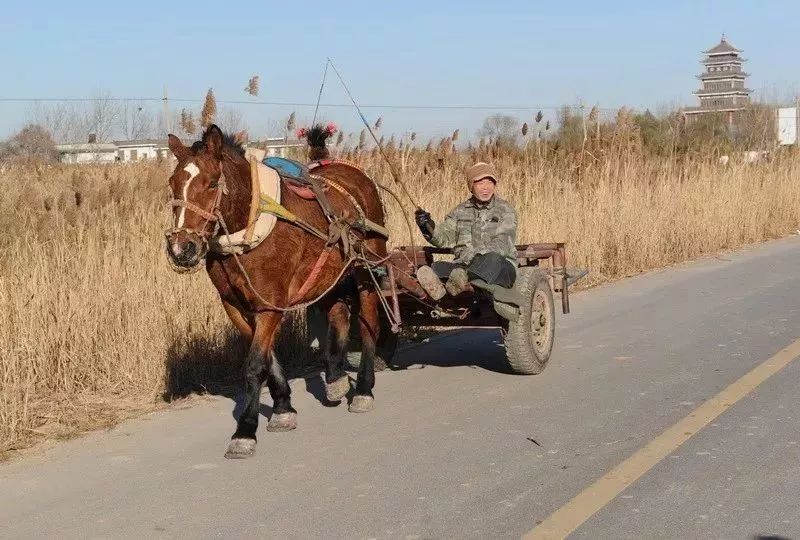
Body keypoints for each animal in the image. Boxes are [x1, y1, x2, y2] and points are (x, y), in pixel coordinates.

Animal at [164, 124, 386, 458]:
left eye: (213, 182)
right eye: (173, 183)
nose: (182, 248)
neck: (249, 225)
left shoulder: (270, 303)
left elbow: (255, 364)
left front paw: (245, 430)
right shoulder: (235, 304)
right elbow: (267, 357)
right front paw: (283, 407)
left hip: (367, 267)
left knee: (369, 318)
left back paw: (363, 389)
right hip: (329, 274)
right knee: (338, 313)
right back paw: (334, 377)